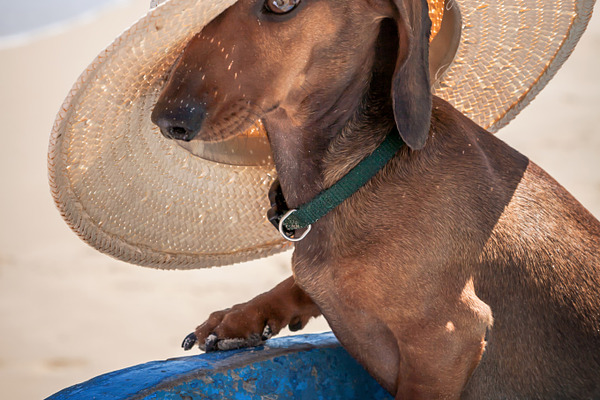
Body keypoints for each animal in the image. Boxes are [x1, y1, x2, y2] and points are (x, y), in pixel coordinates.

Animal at [151, 0, 600, 396]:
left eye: (281, 4)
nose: (168, 121)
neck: (353, 174)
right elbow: (299, 282)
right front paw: (240, 316)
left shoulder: (449, 339)